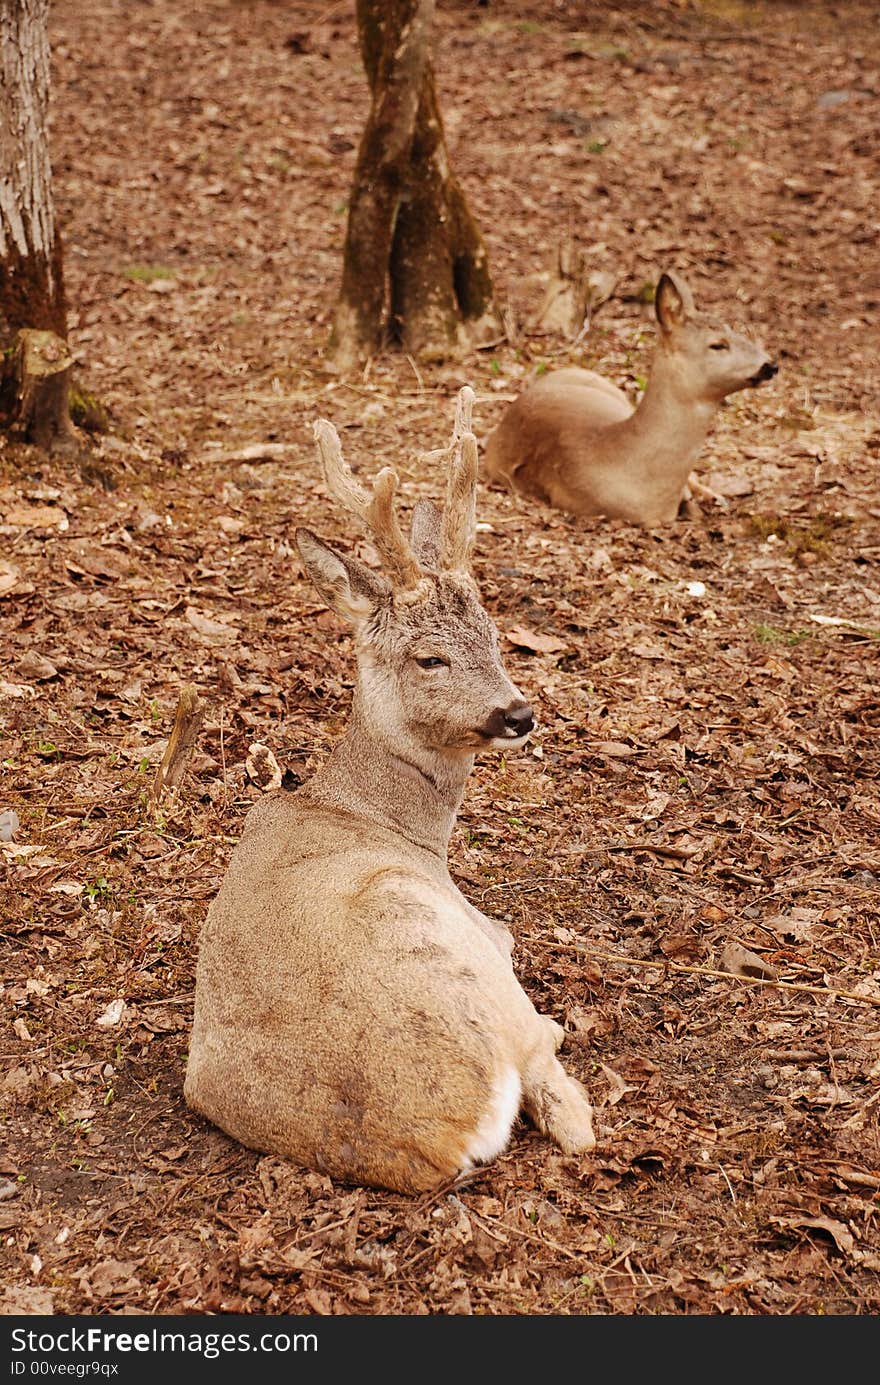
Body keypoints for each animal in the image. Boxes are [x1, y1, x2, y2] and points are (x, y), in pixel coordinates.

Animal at [187, 387, 598, 1191]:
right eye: (430, 657)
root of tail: (439, 1141)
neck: (375, 811)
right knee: (561, 1091)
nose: (518, 714)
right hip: (449, 952)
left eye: (495, 634)